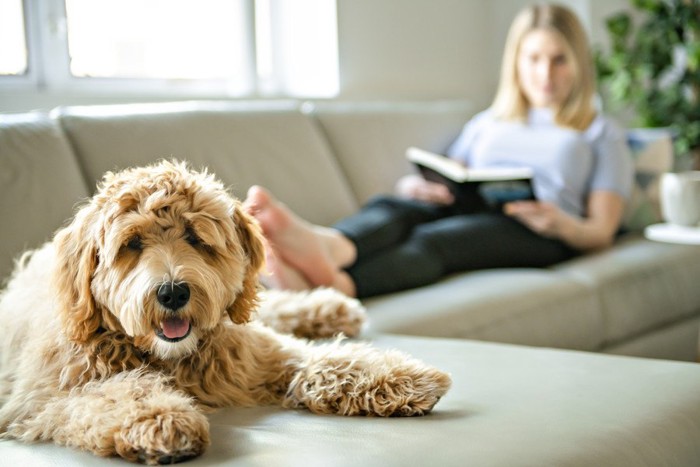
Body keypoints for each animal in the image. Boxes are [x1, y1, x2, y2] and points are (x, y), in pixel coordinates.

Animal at [0, 160, 452, 464]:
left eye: (194, 237)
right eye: (132, 244)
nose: (172, 292)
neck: (171, 358)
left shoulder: (252, 355)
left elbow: (319, 360)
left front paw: (401, 377)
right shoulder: (43, 398)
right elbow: (116, 392)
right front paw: (160, 418)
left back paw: (330, 308)